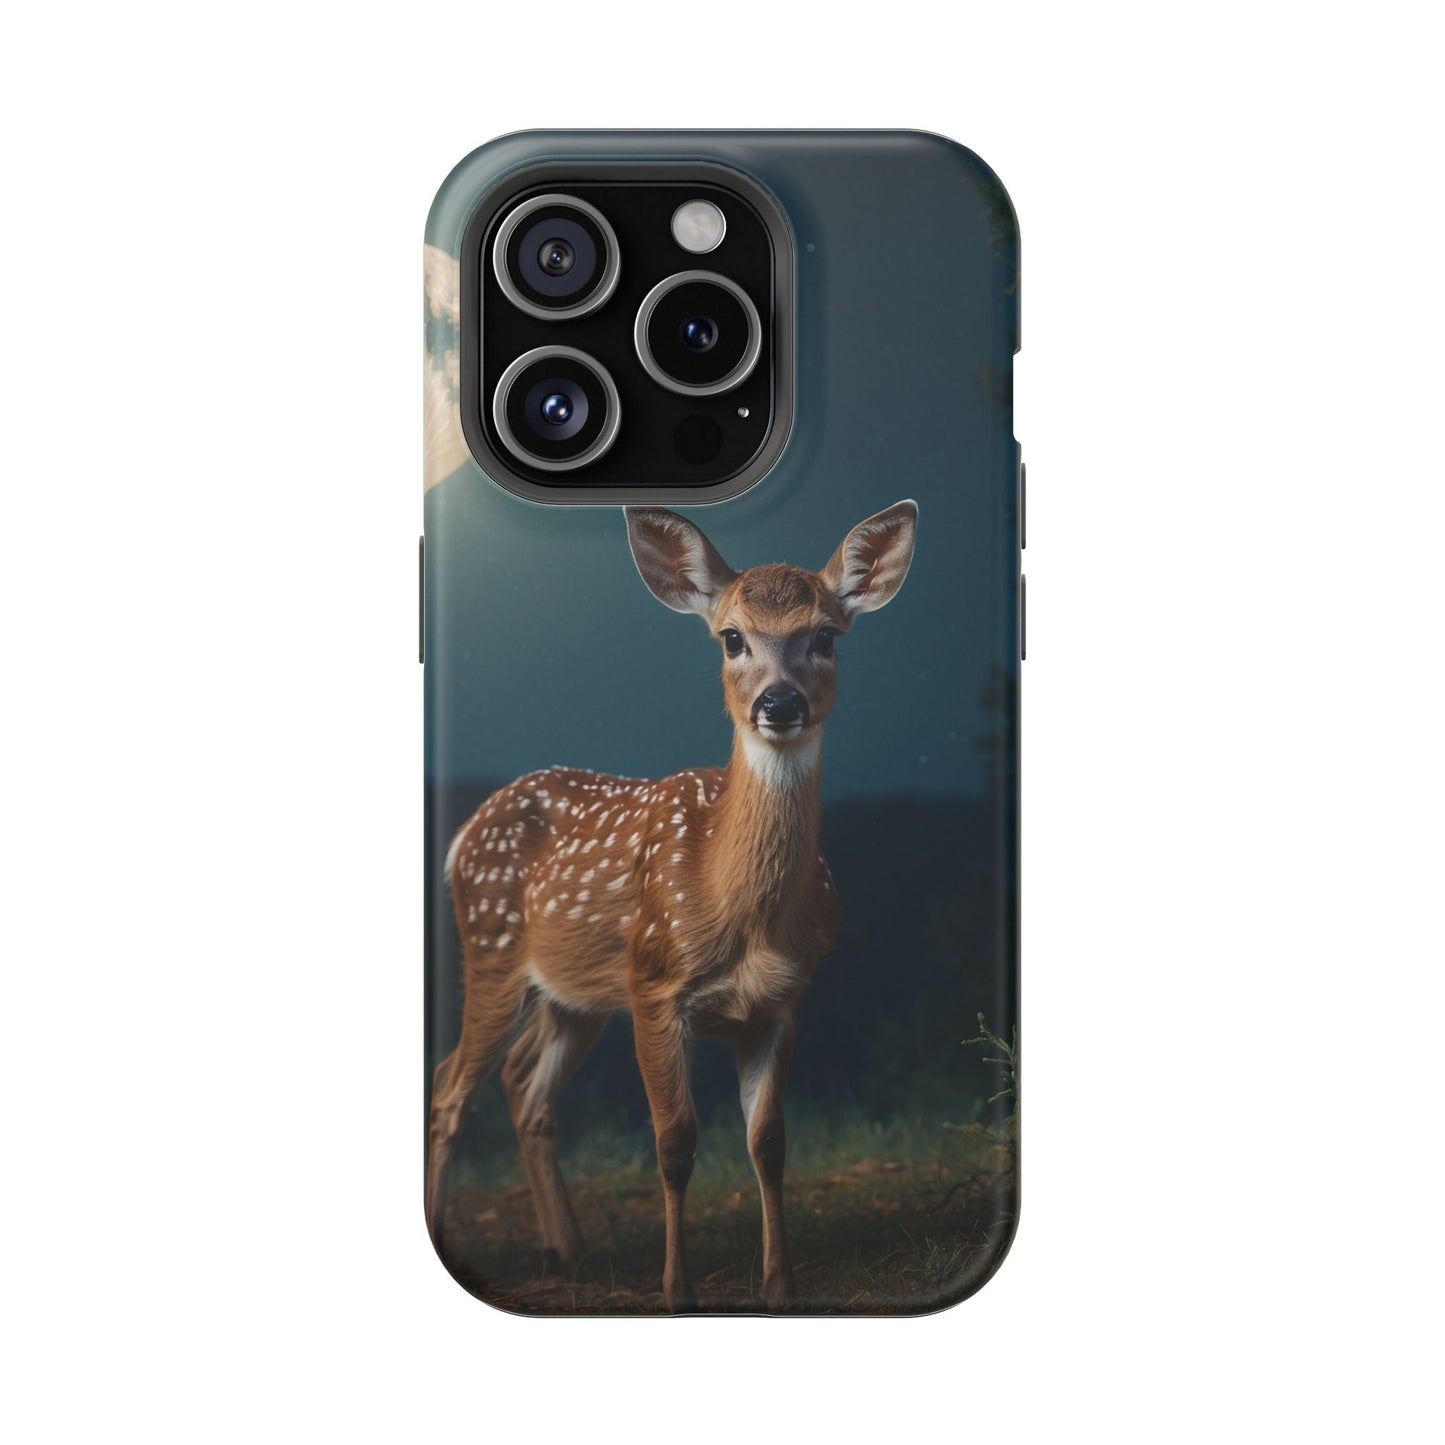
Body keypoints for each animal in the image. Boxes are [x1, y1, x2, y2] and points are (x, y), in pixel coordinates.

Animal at [426, 499, 918, 1311]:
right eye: (731, 636)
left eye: (824, 635)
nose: (778, 702)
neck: (738, 911)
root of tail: (465, 832)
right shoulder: (656, 988)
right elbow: (675, 1141)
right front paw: (676, 1289)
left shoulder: (781, 1002)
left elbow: (769, 1142)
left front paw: (779, 1284)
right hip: (493, 952)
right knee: (449, 1086)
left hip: (576, 995)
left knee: (523, 1086)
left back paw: (568, 1249)